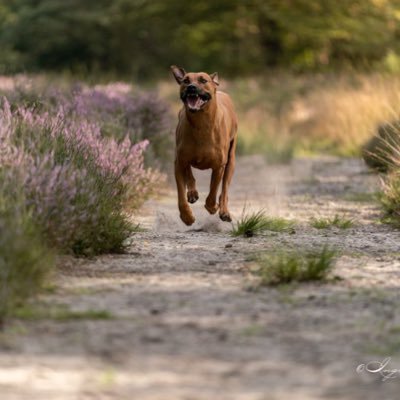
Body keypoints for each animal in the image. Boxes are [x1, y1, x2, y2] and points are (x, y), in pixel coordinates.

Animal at [171, 65, 238, 225]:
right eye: (185, 80)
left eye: (203, 80)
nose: (191, 87)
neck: (201, 124)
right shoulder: (179, 162)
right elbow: (180, 194)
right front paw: (186, 216)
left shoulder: (219, 166)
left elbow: (213, 191)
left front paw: (212, 207)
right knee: (189, 172)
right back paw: (192, 193)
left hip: (231, 160)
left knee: (224, 189)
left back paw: (224, 211)